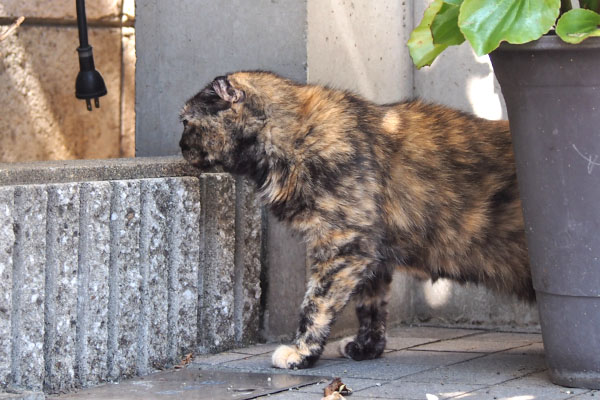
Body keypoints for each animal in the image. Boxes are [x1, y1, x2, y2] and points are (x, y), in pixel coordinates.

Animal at [177, 71, 528, 368]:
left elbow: (316, 303)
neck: (295, 137)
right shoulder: (371, 254)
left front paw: (301, 352)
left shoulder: (344, 244)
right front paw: (366, 348)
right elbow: (370, 306)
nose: (179, 146)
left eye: (185, 122)